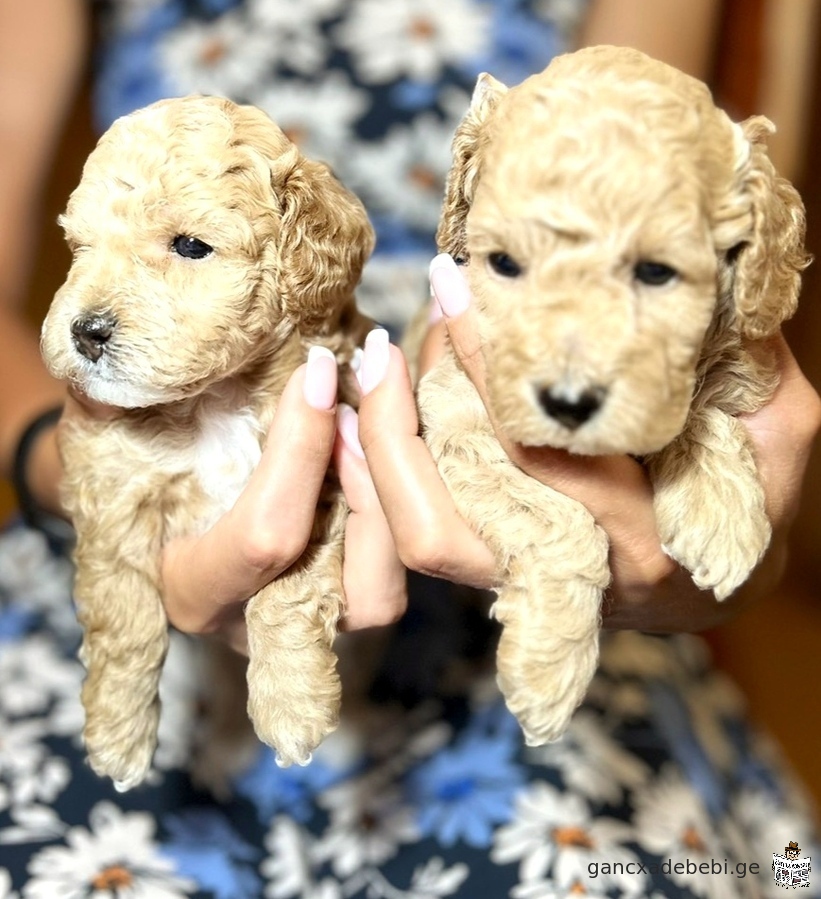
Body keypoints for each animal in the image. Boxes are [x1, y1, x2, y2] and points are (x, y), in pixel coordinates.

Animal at [38, 95, 372, 792]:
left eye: (191, 246)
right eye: (78, 248)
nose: (85, 331)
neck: (215, 401)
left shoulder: (327, 466)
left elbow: (287, 589)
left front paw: (291, 706)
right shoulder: (110, 488)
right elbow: (124, 614)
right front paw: (118, 734)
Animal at [416, 49, 808, 748]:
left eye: (656, 273)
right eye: (505, 264)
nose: (569, 402)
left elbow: (702, 403)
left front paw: (720, 515)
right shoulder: (459, 411)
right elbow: (560, 523)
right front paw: (547, 669)